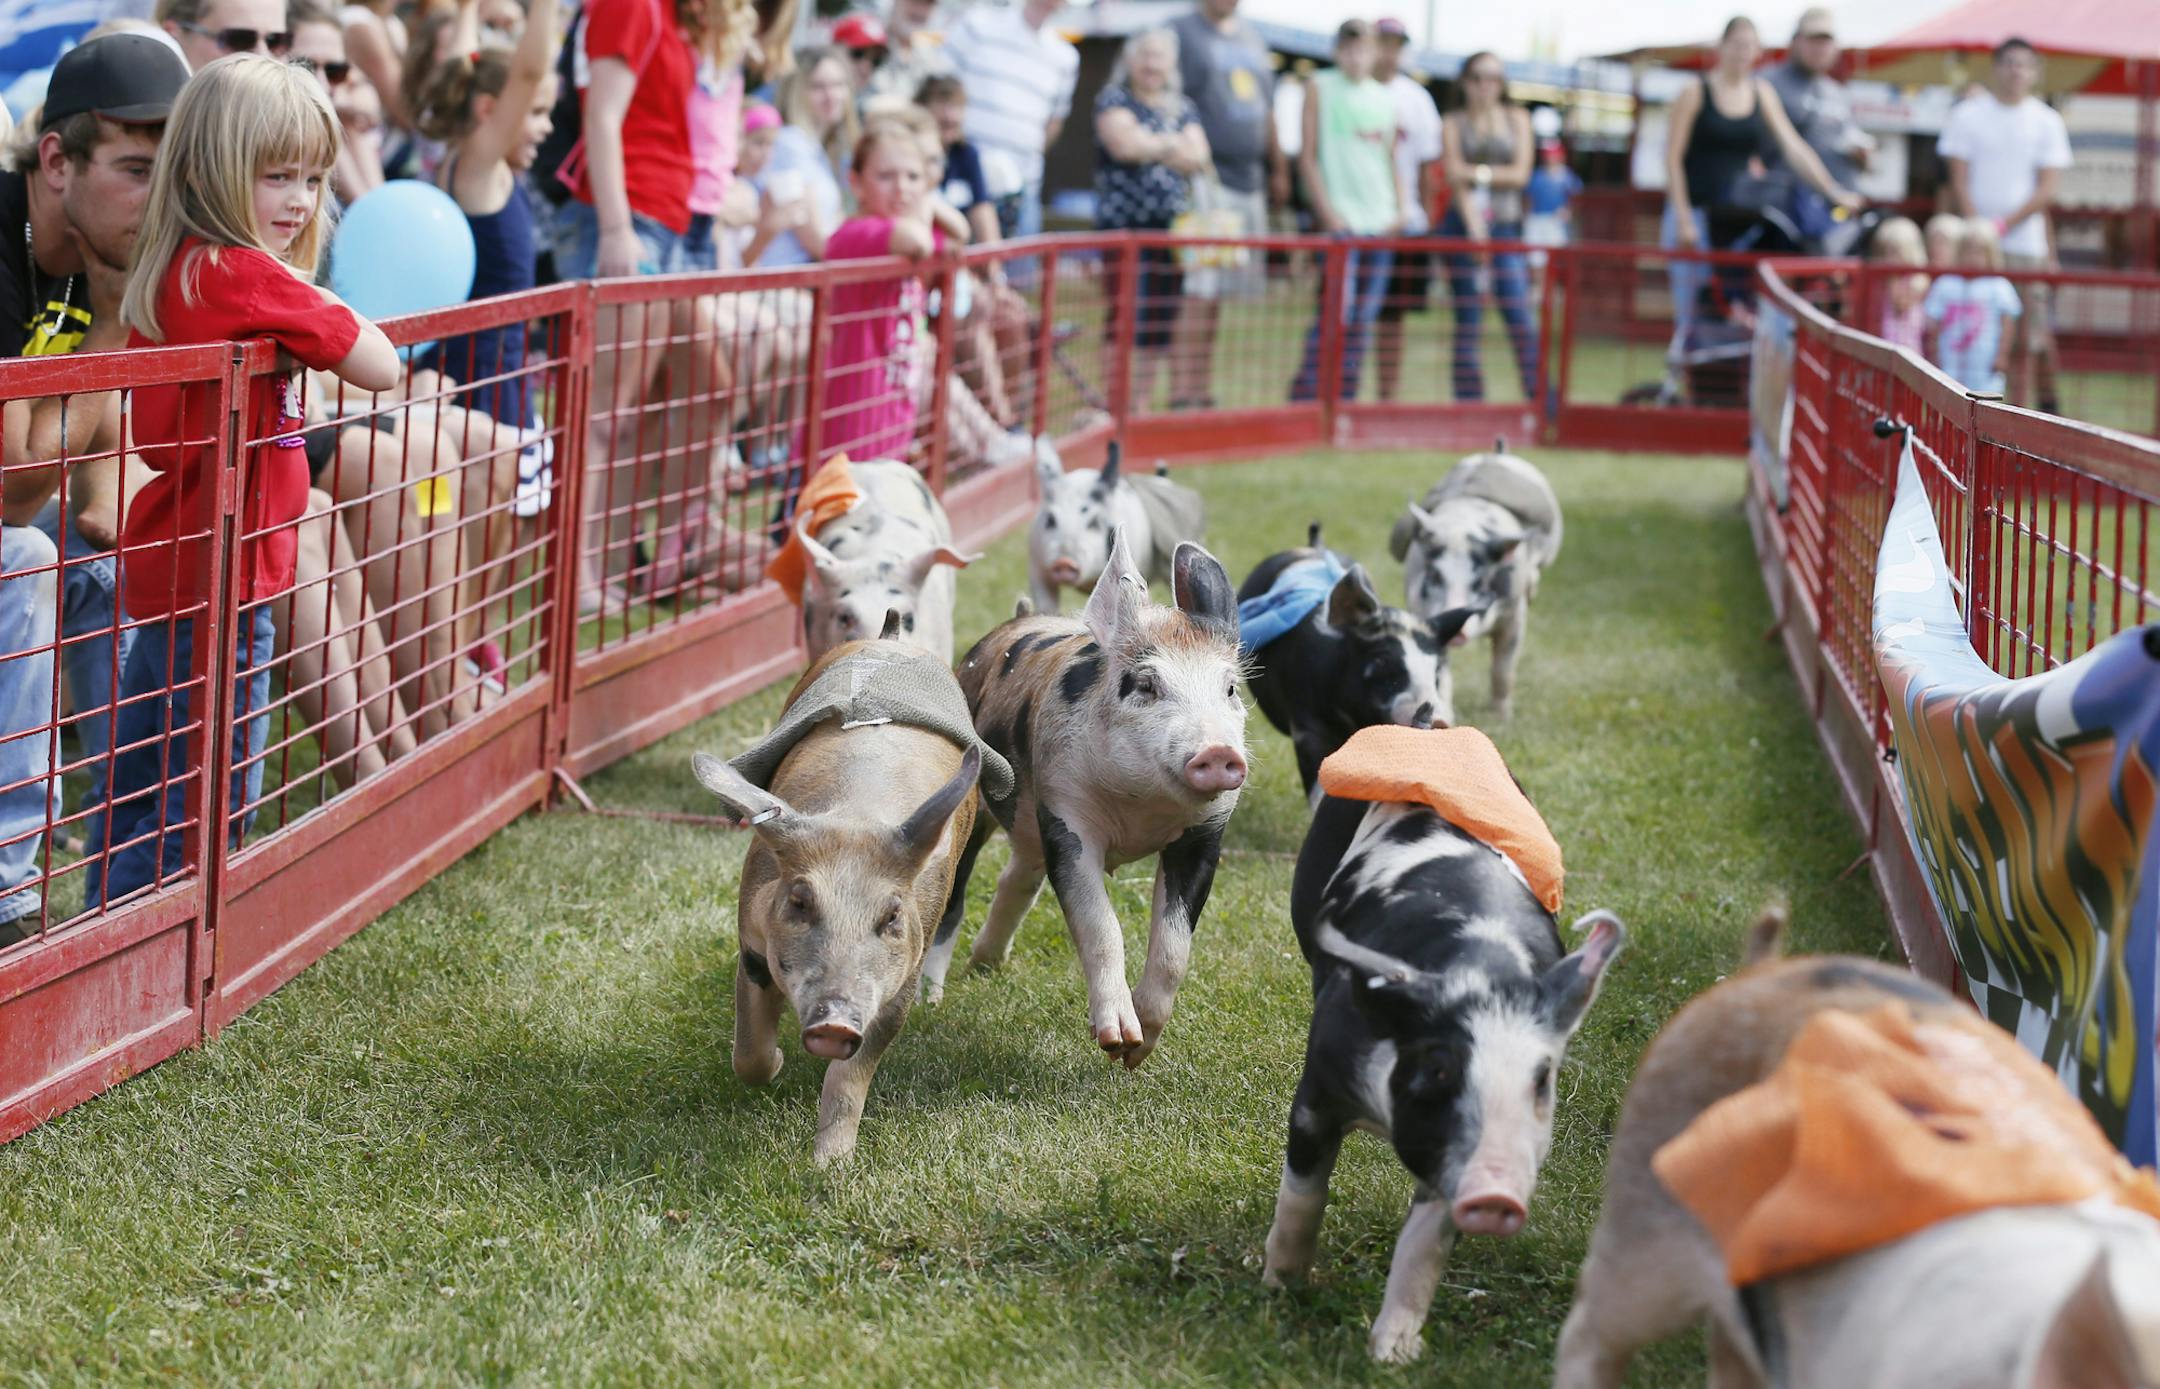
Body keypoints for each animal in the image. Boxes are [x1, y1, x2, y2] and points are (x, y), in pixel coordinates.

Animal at [690, 638, 986, 1164]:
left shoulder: (901, 979)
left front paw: (829, 1167)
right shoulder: (750, 945)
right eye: (799, 902)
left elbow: (852, 1077)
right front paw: (778, 1064)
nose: (834, 1024)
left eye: (892, 915)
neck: (858, 814)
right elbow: (749, 1051)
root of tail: (892, 636)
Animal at [932, 527, 1246, 1066]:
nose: (1219, 751)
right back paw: (929, 1000)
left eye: (1229, 689)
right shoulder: (1066, 813)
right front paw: (1118, 1040)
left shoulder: (1205, 835)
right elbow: (1100, 926)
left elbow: (1174, 946)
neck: (1141, 810)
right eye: (1145, 685)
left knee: (1018, 878)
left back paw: (986, 966)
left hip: (1029, 826)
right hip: (971, 796)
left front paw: (1136, 1055)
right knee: (955, 893)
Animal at [1261, 792, 1625, 1364]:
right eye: (1437, 1068)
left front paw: (1394, 1357)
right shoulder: (1317, 1090)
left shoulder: (1447, 1160)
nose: (1497, 1193)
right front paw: (1280, 1290)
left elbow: (1425, 1244)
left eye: (1541, 1080)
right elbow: (1304, 1190)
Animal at [1386, 441, 1564, 723]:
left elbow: (1503, 668)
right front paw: (1444, 719)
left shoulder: (1514, 614)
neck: (1462, 529)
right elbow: (1440, 671)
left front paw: (1502, 719)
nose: (1459, 632)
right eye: (1434, 575)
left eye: (1481, 580)